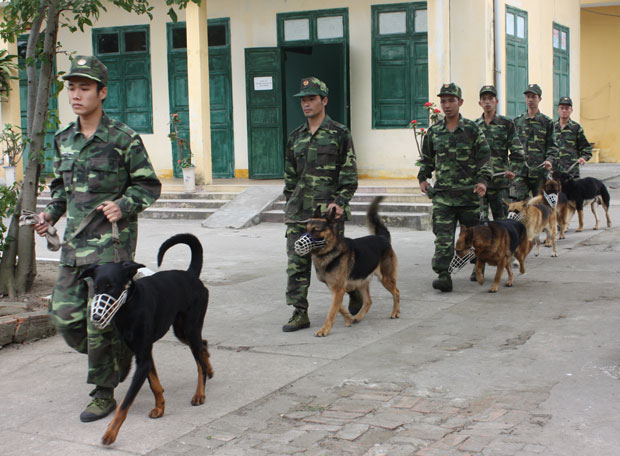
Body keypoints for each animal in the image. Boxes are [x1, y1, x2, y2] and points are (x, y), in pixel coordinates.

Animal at [80, 233, 213, 448]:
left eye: (111, 287)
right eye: (97, 288)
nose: (97, 317)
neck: (129, 306)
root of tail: (191, 275)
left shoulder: (143, 357)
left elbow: (125, 403)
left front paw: (110, 433)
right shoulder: (143, 353)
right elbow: (154, 383)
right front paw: (160, 407)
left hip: (190, 328)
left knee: (199, 360)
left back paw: (200, 393)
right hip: (181, 330)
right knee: (204, 345)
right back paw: (209, 369)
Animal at [306, 197, 402, 338]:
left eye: (316, 230)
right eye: (306, 229)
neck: (331, 250)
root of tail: (382, 237)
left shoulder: (338, 289)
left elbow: (331, 312)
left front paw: (324, 330)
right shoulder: (335, 289)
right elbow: (338, 307)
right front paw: (348, 317)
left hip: (385, 278)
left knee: (396, 292)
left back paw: (395, 312)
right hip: (361, 282)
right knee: (368, 301)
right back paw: (358, 317)